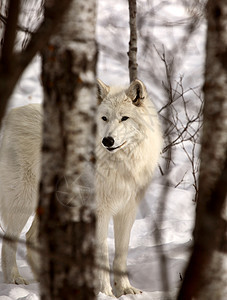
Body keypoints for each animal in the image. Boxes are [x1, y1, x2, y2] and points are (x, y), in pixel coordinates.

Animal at [0, 79, 161, 298]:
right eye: (104, 118)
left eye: (124, 118)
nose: (107, 140)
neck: (119, 164)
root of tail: (13, 113)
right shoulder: (100, 212)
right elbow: (102, 255)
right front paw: (105, 292)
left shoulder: (127, 211)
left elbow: (121, 255)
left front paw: (125, 289)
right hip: (24, 202)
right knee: (9, 241)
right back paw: (14, 279)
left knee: (31, 238)